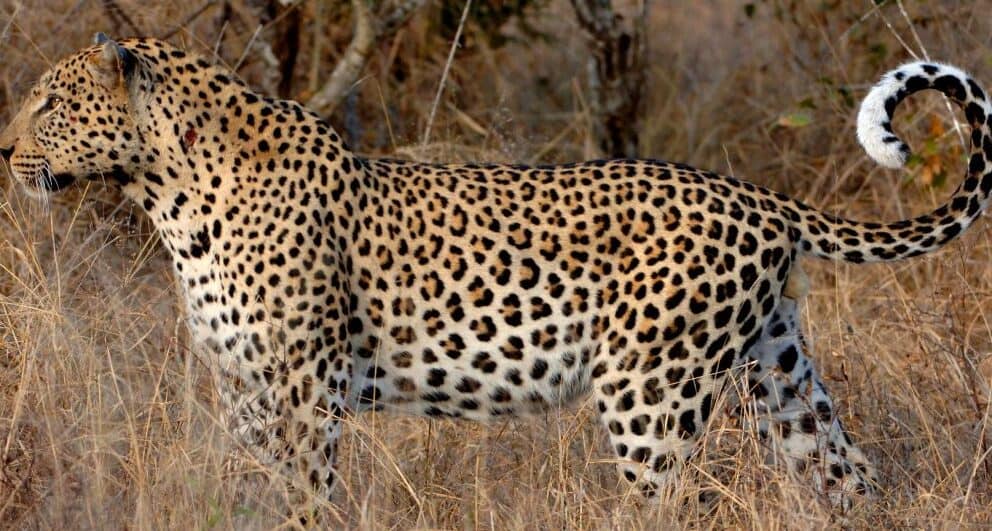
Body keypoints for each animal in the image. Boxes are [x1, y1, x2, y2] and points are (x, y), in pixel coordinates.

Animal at [2, 33, 990, 513]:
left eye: (50, 101)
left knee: (679, 503)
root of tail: (759, 196)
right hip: (781, 379)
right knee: (849, 478)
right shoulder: (245, 390)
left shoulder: (302, 385)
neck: (164, 189)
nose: (5, 148)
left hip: (650, 394)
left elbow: (304, 495)